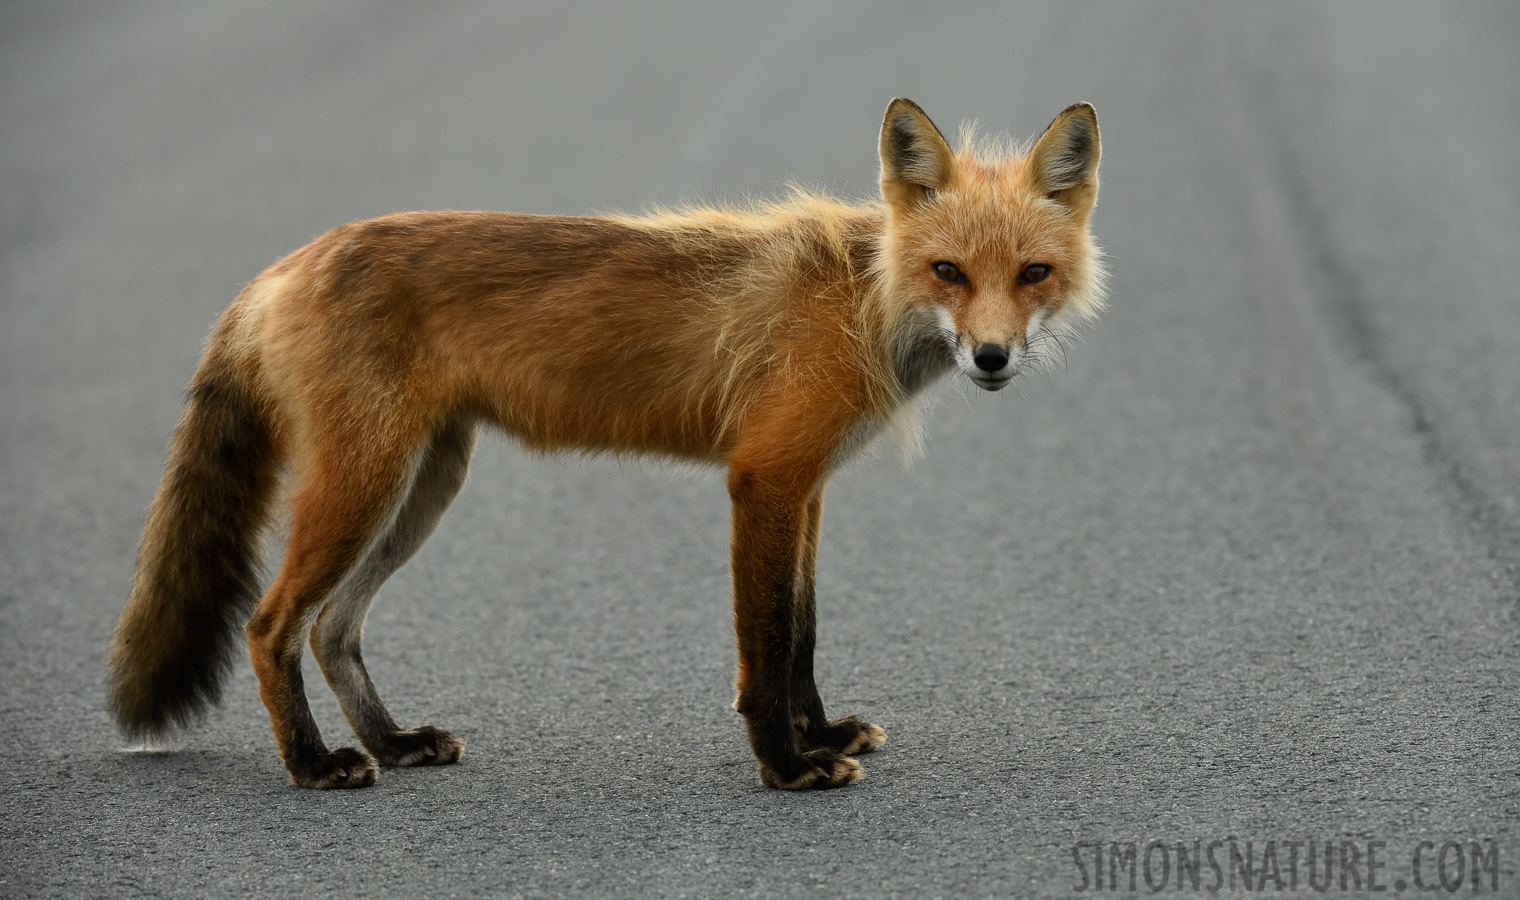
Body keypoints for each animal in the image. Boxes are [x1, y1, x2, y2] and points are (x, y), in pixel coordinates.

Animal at [110, 98, 1106, 790]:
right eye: (948, 271)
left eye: (1032, 274)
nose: (991, 356)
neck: (864, 298)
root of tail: (284, 264)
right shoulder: (764, 478)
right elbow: (765, 645)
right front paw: (786, 767)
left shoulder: (808, 484)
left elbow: (804, 636)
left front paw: (816, 735)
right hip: (366, 483)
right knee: (270, 624)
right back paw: (314, 765)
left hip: (422, 485)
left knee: (332, 627)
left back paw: (391, 743)